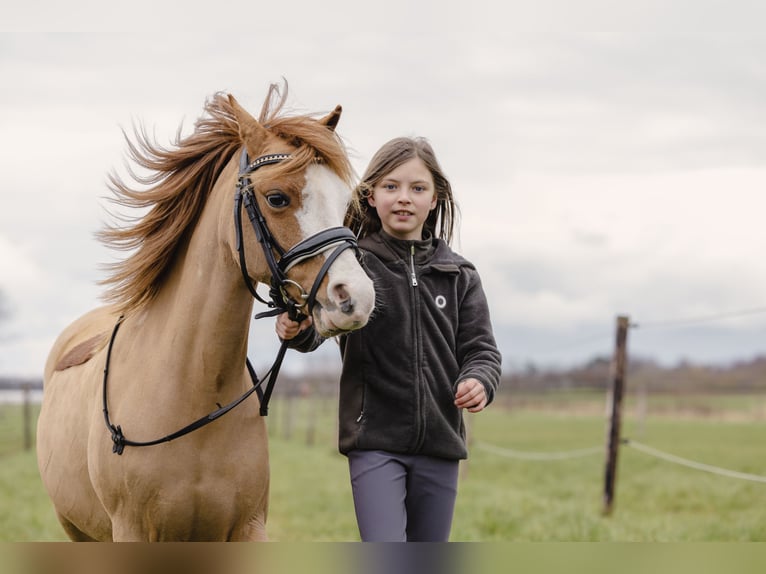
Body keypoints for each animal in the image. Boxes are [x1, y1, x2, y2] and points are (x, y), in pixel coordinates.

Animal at [36, 83, 378, 544]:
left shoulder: (247, 530)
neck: (192, 390)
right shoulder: (130, 533)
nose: (355, 297)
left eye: (345, 204)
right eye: (277, 198)